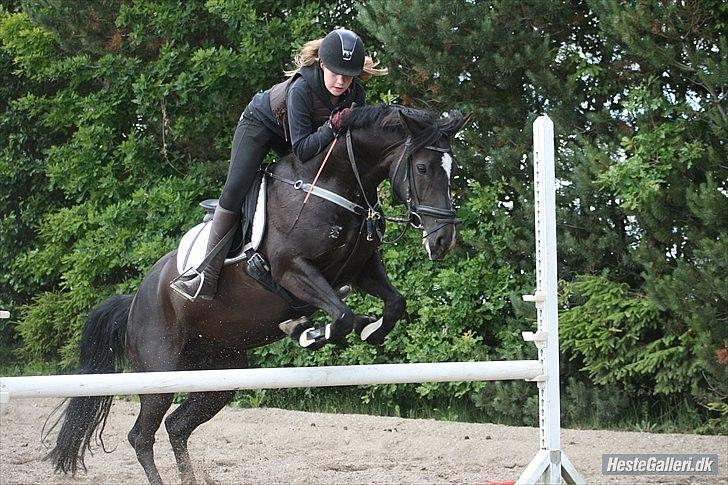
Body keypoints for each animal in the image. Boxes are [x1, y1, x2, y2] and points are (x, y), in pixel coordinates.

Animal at [45, 104, 470, 482]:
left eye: (452, 170)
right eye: (422, 168)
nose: (444, 240)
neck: (334, 187)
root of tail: (134, 303)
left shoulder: (361, 269)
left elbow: (393, 303)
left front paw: (369, 329)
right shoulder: (292, 271)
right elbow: (341, 315)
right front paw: (310, 332)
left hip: (220, 374)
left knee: (177, 425)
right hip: (159, 375)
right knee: (141, 436)